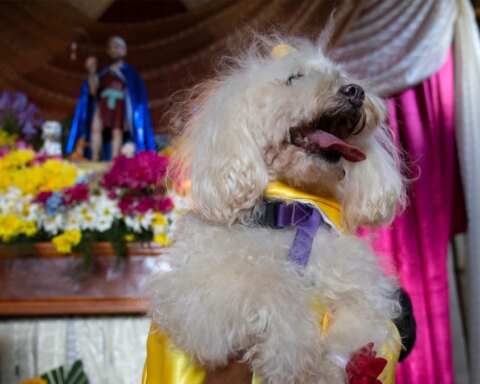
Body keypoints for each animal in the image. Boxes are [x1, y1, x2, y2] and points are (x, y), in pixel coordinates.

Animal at [148, 35, 406, 380]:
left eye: (341, 75)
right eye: (294, 78)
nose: (355, 91)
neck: (293, 212)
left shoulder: (363, 294)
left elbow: (359, 326)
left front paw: (331, 369)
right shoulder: (194, 293)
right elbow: (269, 284)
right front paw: (290, 352)